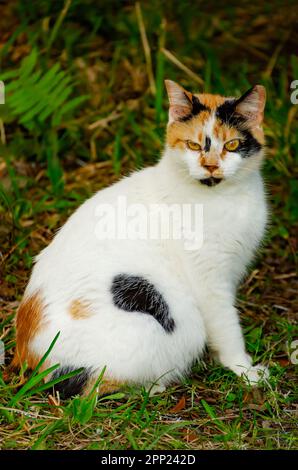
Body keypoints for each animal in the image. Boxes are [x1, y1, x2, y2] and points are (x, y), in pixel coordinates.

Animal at [11, 80, 268, 396]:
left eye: (232, 144)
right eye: (193, 145)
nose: (210, 166)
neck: (225, 197)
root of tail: (29, 360)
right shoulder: (210, 282)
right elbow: (227, 326)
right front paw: (244, 370)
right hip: (157, 321)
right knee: (96, 387)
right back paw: (155, 386)